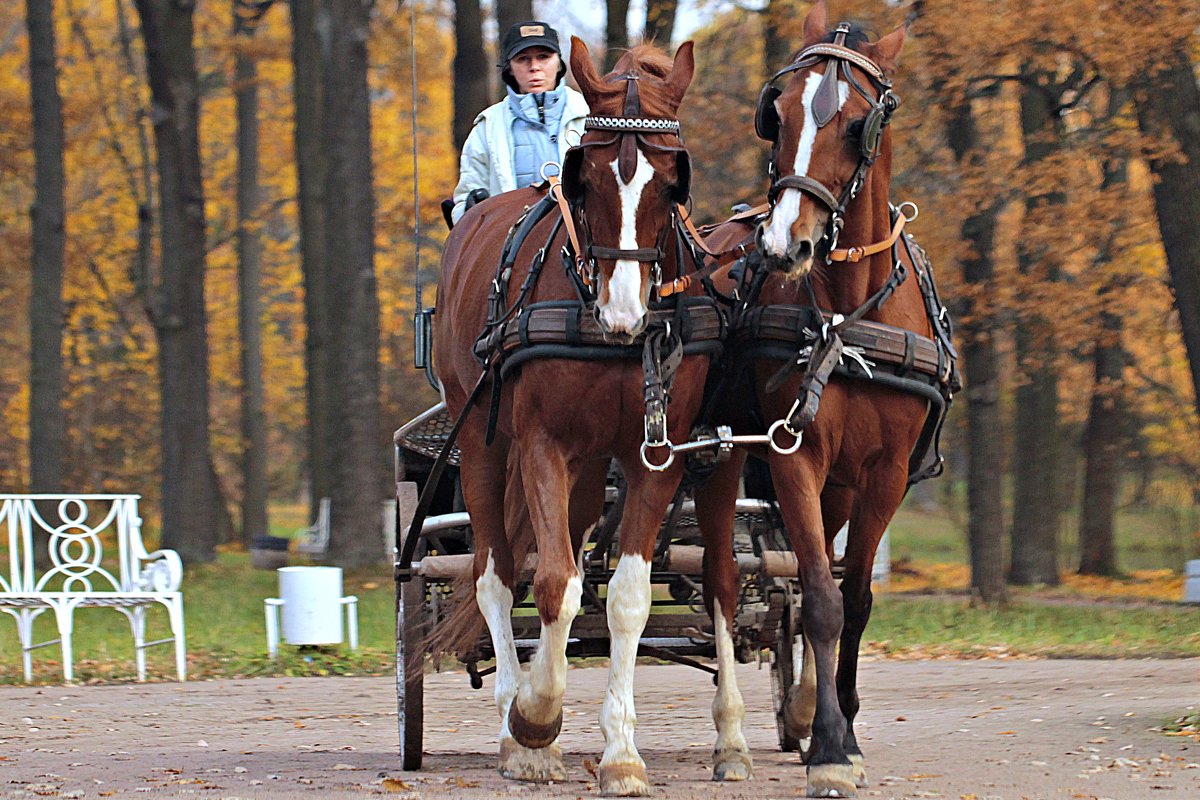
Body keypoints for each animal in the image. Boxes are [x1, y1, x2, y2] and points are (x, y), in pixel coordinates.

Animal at [429, 38, 739, 800]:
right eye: (587, 179)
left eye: (672, 182)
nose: (623, 314)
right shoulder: (543, 444)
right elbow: (551, 583)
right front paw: (535, 720)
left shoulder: (657, 450)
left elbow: (622, 597)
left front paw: (621, 751)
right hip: (481, 436)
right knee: (495, 575)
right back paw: (516, 723)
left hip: (592, 463)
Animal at [696, 3, 945, 796]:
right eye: (775, 114)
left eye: (859, 122)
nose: (785, 245)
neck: (843, 313)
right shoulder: (792, 455)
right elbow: (821, 595)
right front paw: (833, 747)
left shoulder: (884, 474)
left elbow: (852, 598)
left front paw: (838, 726)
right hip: (719, 458)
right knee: (720, 580)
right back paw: (731, 738)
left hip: (841, 485)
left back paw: (805, 707)